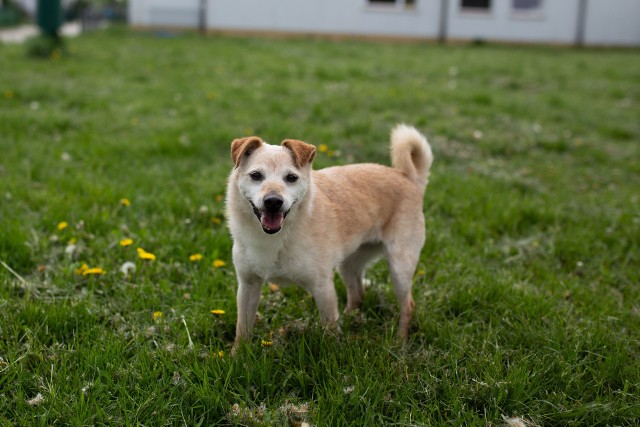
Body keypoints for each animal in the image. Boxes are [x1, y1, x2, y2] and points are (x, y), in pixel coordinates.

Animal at [226, 124, 436, 348]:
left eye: (291, 178)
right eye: (256, 175)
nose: (273, 201)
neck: (276, 236)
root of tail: (407, 177)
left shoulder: (322, 287)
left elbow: (329, 333)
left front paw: (332, 351)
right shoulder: (248, 286)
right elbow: (242, 329)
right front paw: (238, 354)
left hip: (399, 266)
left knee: (408, 305)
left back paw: (400, 341)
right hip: (349, 264)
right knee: (357, 294)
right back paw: (350, 320)